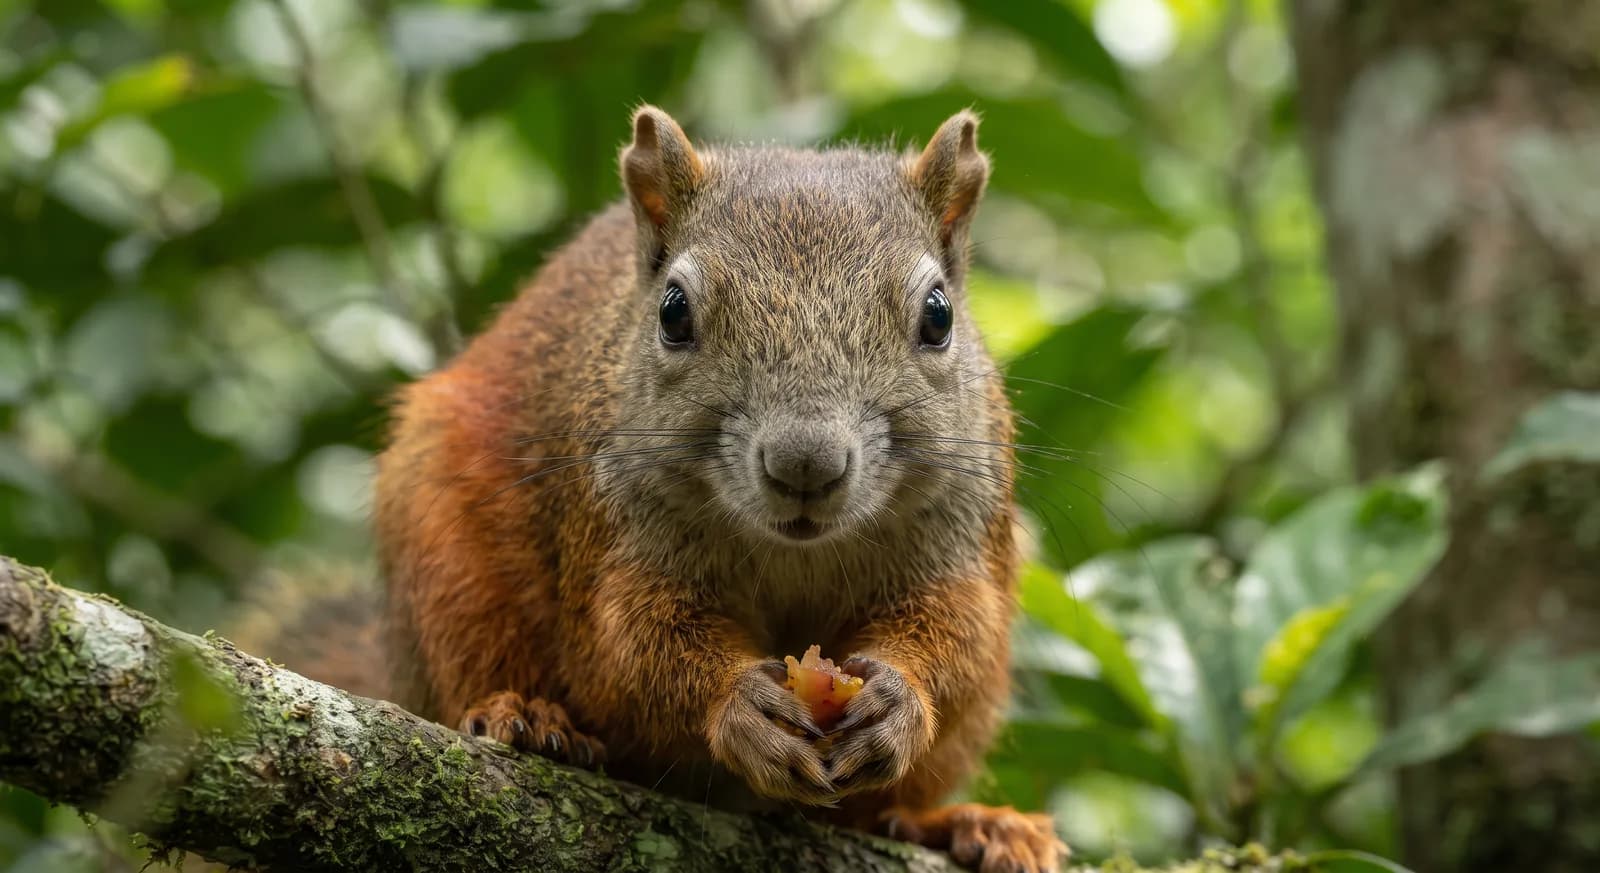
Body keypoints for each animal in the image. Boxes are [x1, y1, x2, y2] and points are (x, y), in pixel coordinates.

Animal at [265, 105, 1065, 873]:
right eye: (673, 312)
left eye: (938, 315)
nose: (805, 465)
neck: (794, 553)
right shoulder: (614, 536)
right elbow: (632, 646)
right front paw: (738, 705)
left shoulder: (957, 536)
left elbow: (959, 633)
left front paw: (900, 698)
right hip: (444, 554)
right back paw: (526, 718)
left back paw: (964, 826)